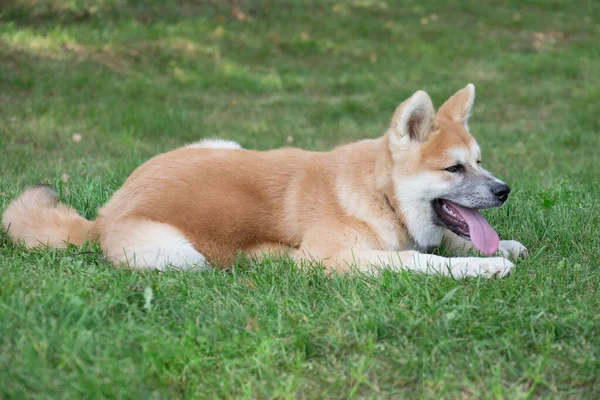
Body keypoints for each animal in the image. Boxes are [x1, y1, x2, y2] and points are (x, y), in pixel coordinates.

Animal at [3, 84, 528, 278]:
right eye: (453, 168)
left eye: (480, 161)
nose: (504, 190)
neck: (379, 194)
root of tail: (101, 216)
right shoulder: (334, 259)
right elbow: (421, 260)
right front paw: (481, 267)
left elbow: (447, 242)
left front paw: (502, 246)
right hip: (177, 255)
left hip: (225, 144)